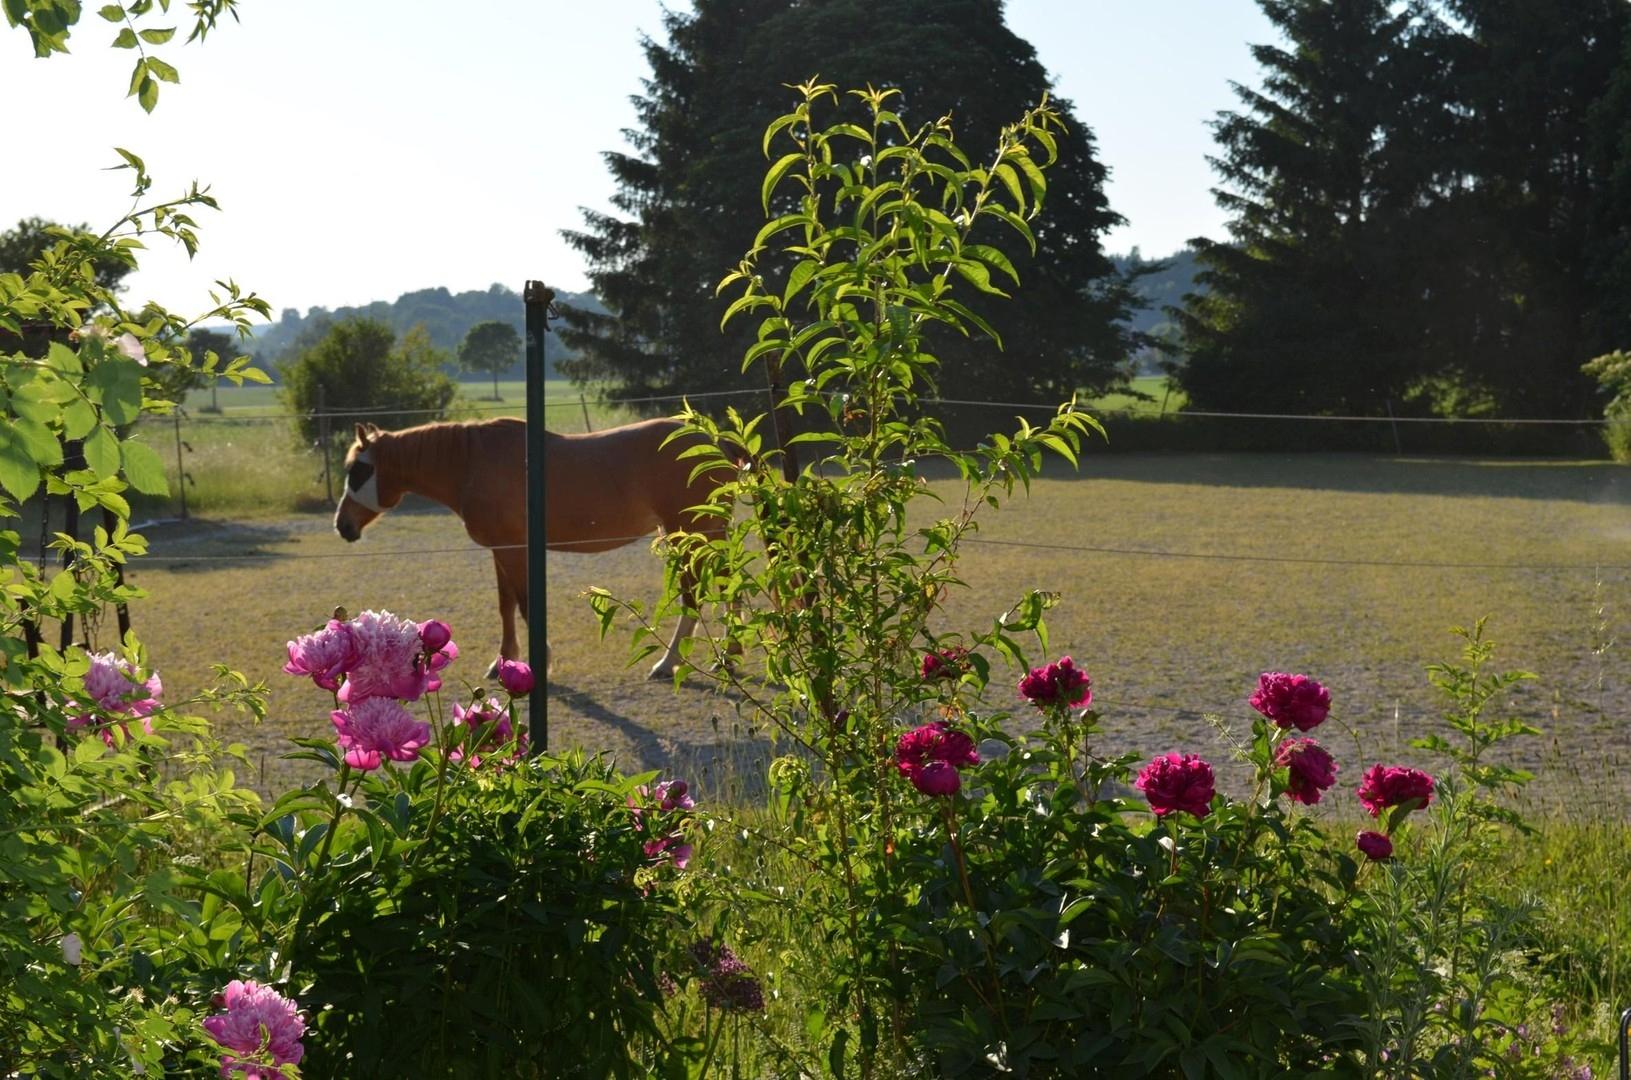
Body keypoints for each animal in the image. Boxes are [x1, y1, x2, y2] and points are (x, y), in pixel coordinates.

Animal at [332, 416, 735, 680]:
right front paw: (502, 662)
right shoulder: (500, 550)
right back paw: (729, 656)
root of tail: (718, 443)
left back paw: (669, 663)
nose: (342, 525)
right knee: (728, 584)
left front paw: (540, 661)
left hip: (686, 533)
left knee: (692, 596)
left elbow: (525, 606)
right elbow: (506, 606)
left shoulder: (513, 549)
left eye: (358, 470)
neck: (471, 463)